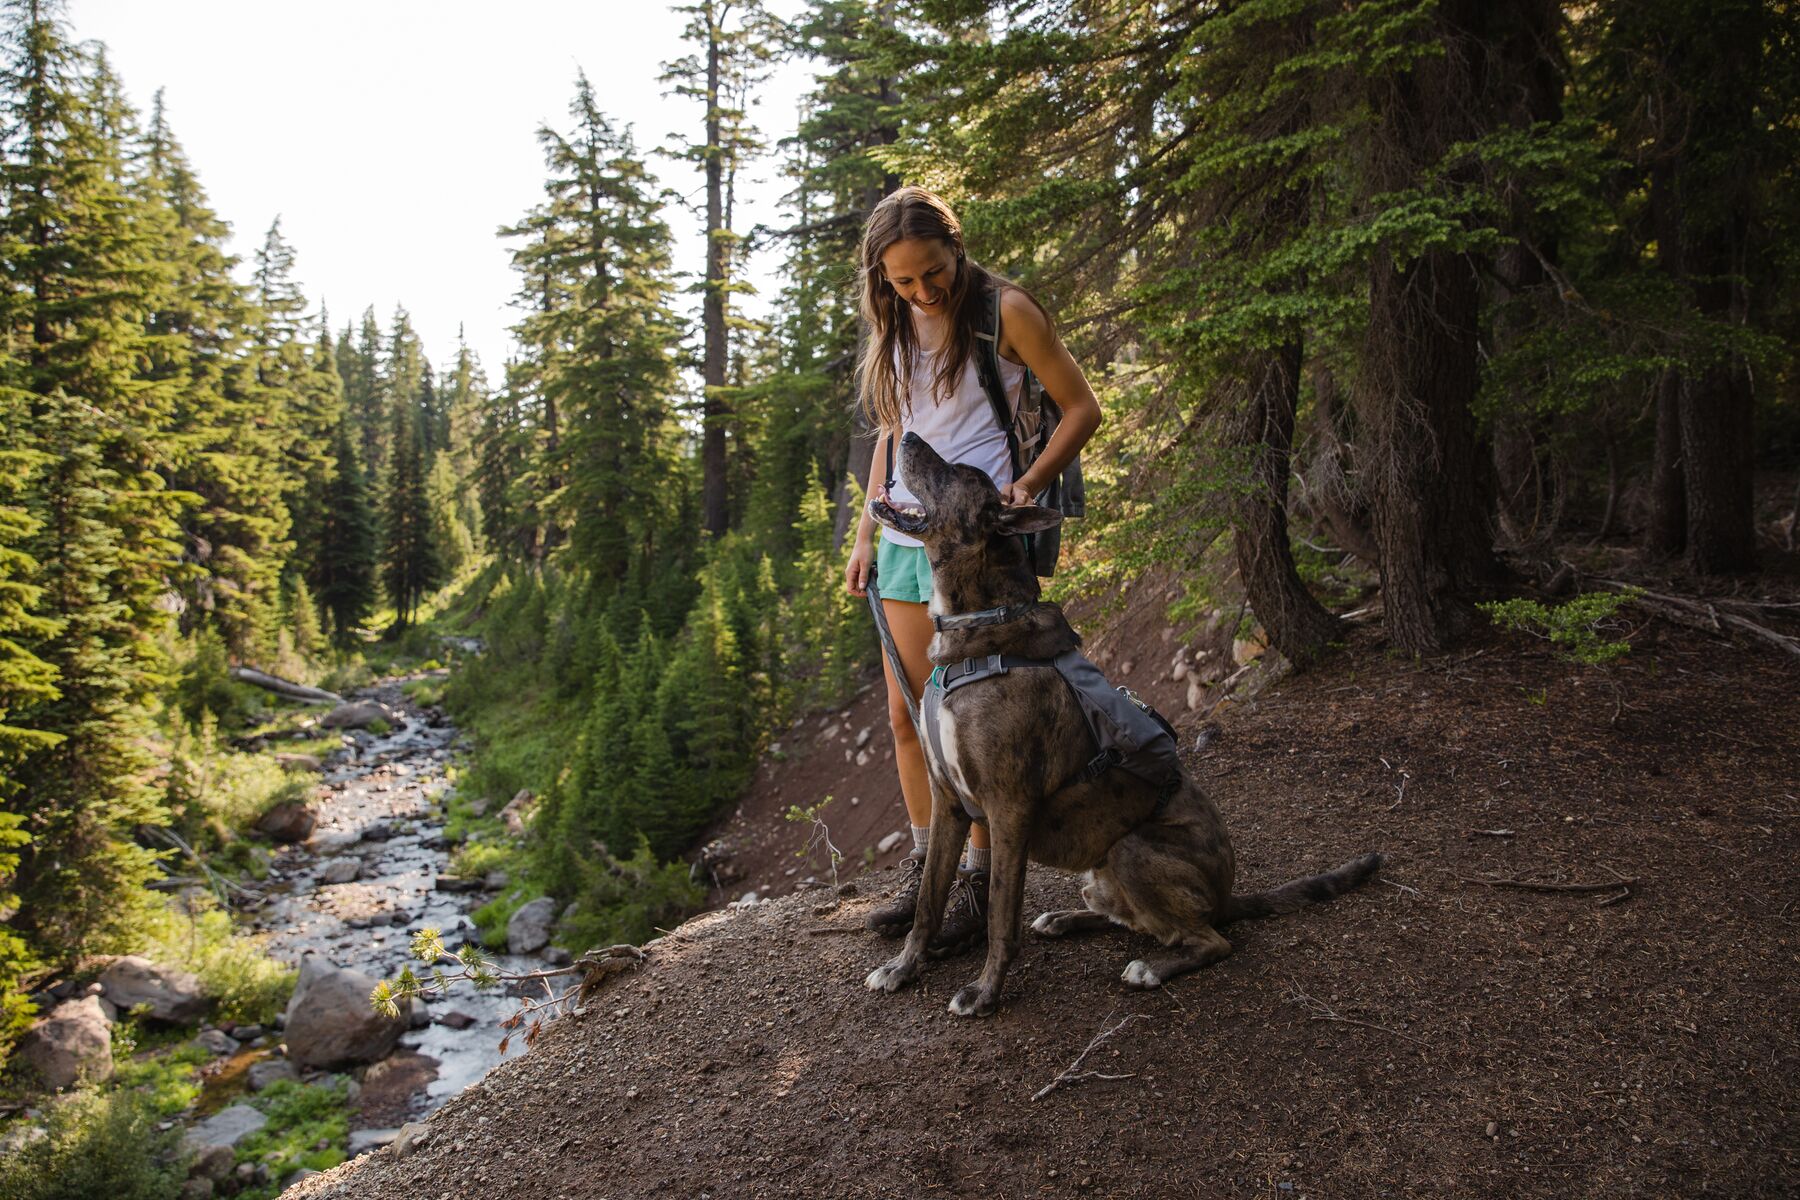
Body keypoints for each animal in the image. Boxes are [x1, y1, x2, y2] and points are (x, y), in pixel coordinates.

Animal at [864, 431, 1382, 1014]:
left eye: (959, 472)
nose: (904, 437)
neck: (978, 630)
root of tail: (1227, 895)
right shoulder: (949, 802)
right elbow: (928, 902)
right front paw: (903, 967)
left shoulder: (1008, 808)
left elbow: (1000, 913)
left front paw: (984, 991)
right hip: (1099, 872)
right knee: (1135, 920)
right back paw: (1066, 919)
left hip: (1132, 850)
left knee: (1208, 940)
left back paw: (1151, 968)